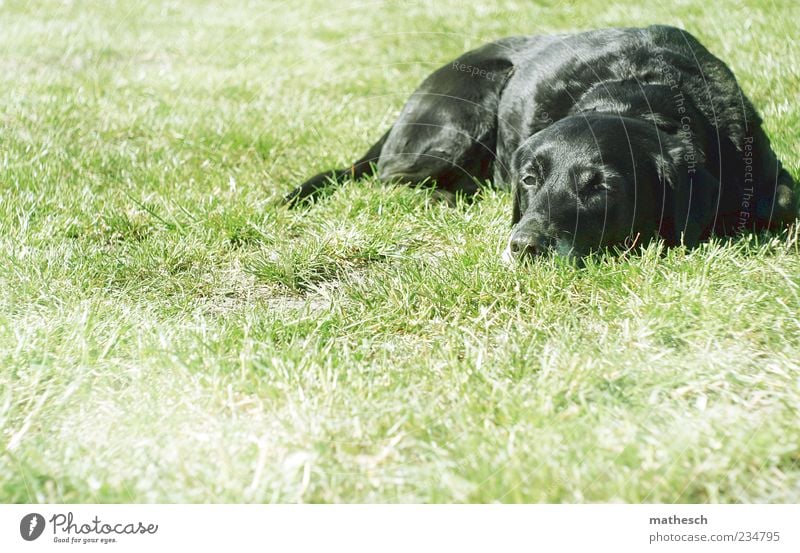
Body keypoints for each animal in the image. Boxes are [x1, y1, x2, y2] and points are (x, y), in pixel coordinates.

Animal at [284, 24, 796, 258]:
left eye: (601, 187)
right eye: (529, 179)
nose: (523, 246)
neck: (642, 91)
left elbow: (785, 201)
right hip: (461, 115)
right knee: (387, 180)